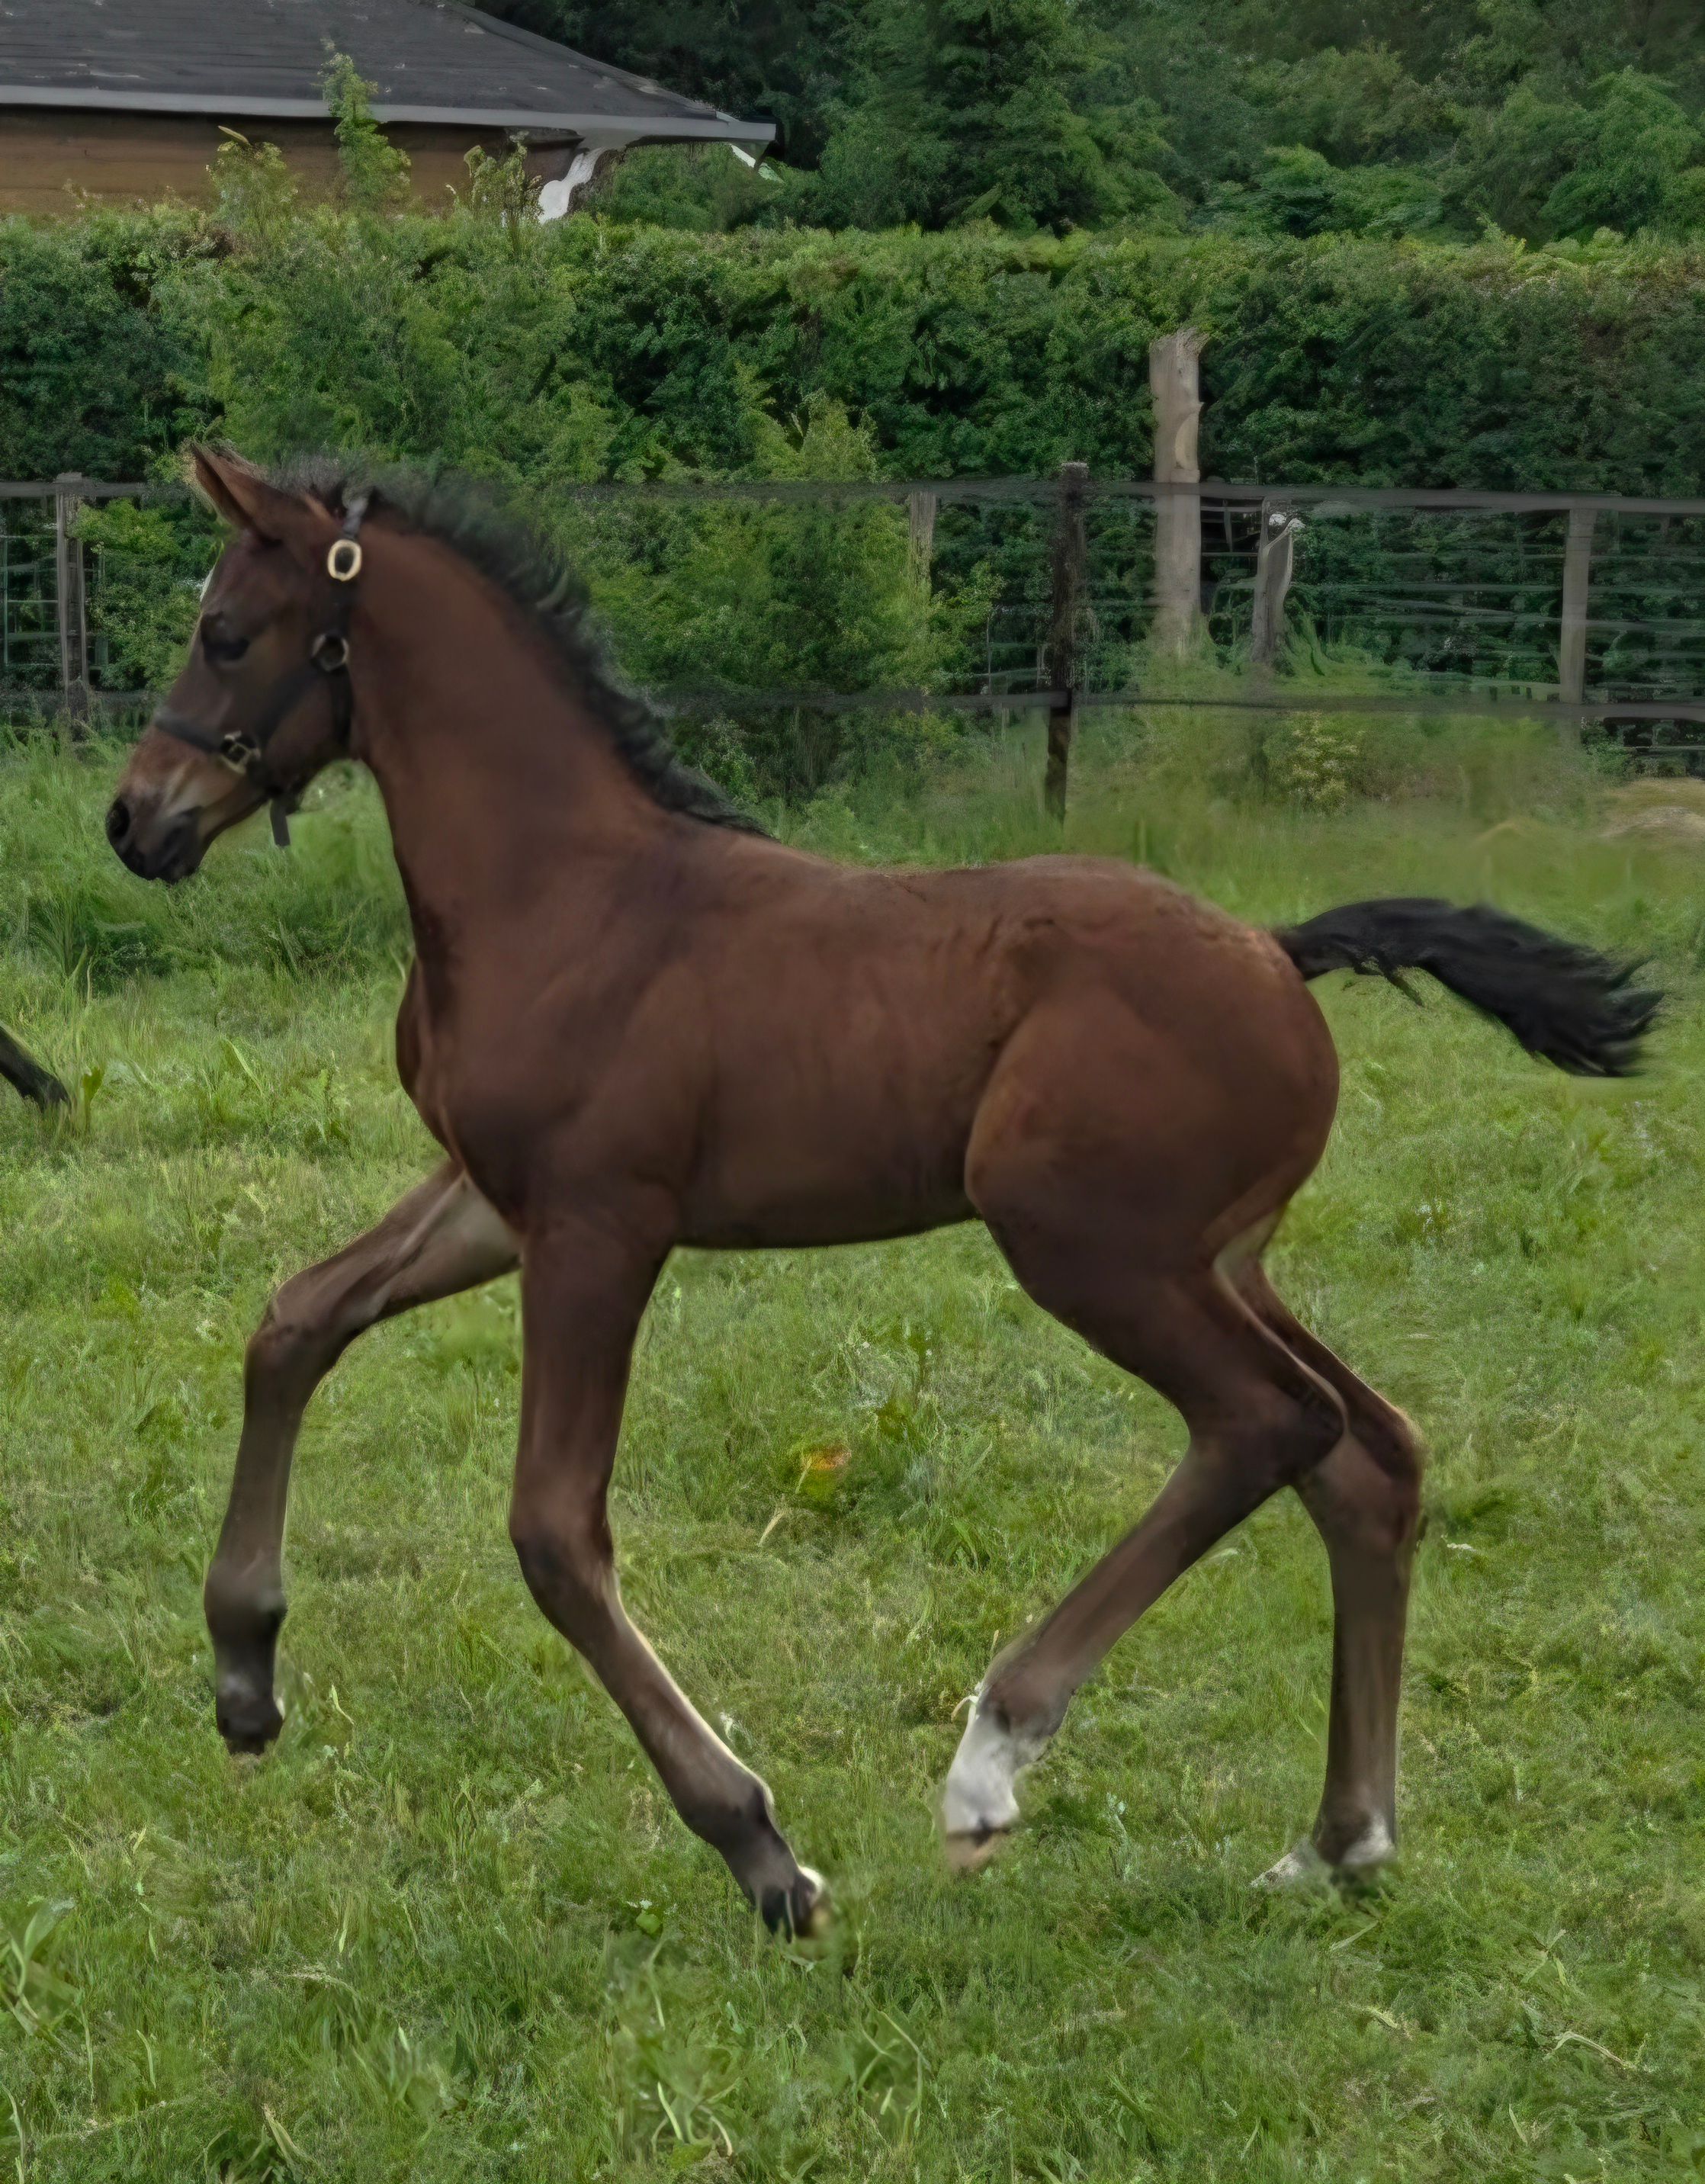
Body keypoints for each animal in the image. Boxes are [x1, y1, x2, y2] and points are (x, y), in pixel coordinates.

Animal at [105, 449, 1658, 1936]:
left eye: (226, 633)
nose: (134, 821)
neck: (561, 893)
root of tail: (1283, 953)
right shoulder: (495, 1196)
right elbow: (293, 1321)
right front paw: (244, 1670)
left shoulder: (602, 1221)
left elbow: (553, 1529)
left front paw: (760, 1850)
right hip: (1219, 1258)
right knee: (1368, 1454)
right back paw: (1342, 1840)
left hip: (1084, 1244)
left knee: (1268, 1424)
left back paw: (994, 1758)